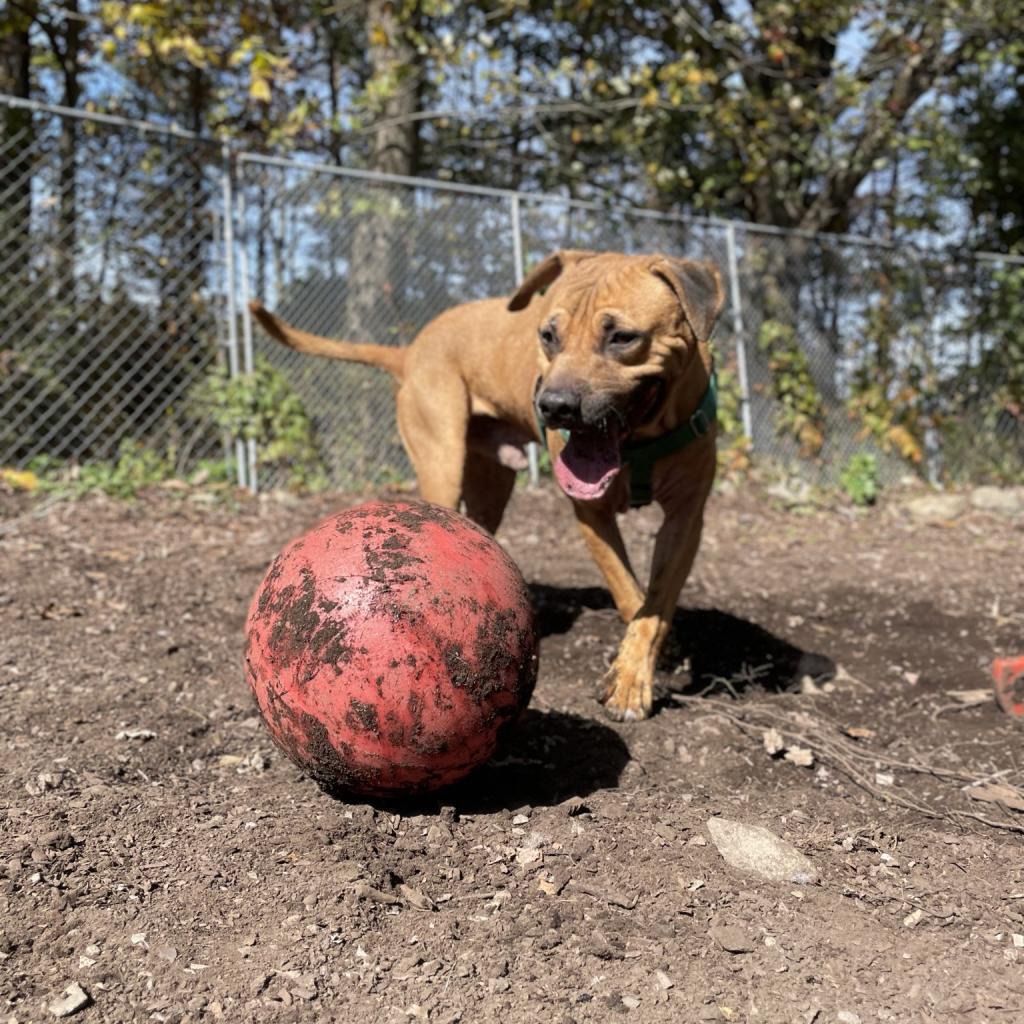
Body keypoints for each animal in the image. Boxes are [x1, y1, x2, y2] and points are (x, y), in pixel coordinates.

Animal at [250, 252, 724, 720]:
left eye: (623, 338)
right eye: (548, 336)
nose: (554, 406)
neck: (641, 442)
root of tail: (412, 350)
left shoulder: (687, 519)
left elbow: (656, 601)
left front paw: (639, 669)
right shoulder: (591, 512)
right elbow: (627, 590)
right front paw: (630, 677)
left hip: (491, 485)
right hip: (442, 463)